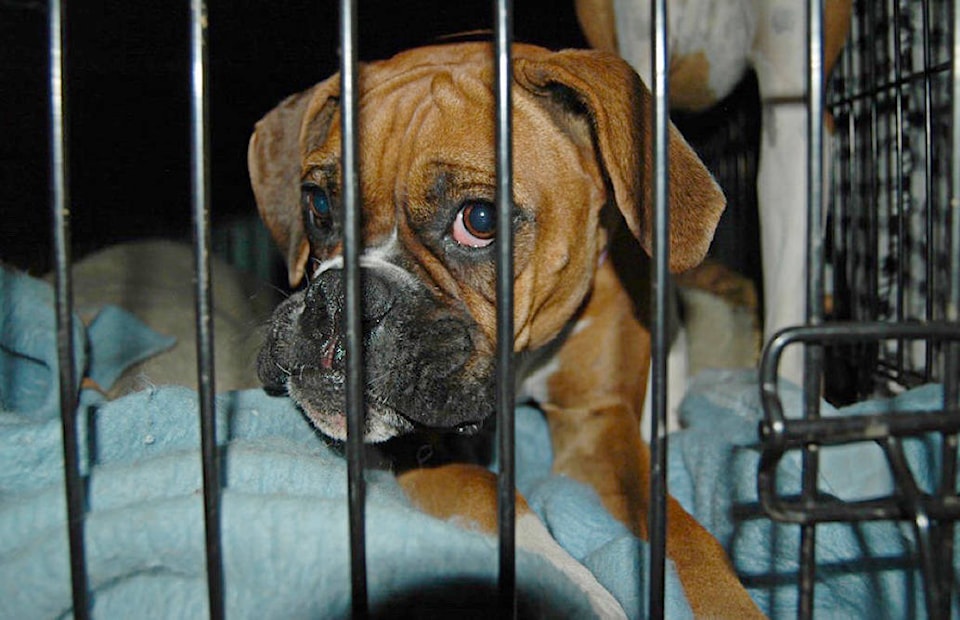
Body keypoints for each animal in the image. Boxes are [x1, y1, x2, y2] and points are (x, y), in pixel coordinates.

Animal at [251, 41, 760, 616]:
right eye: (317, 203)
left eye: (479, 219)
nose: (338, 299)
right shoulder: (427, 443)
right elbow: (493, 498)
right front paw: (578, 594)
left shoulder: (596, 423)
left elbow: (684, 535)